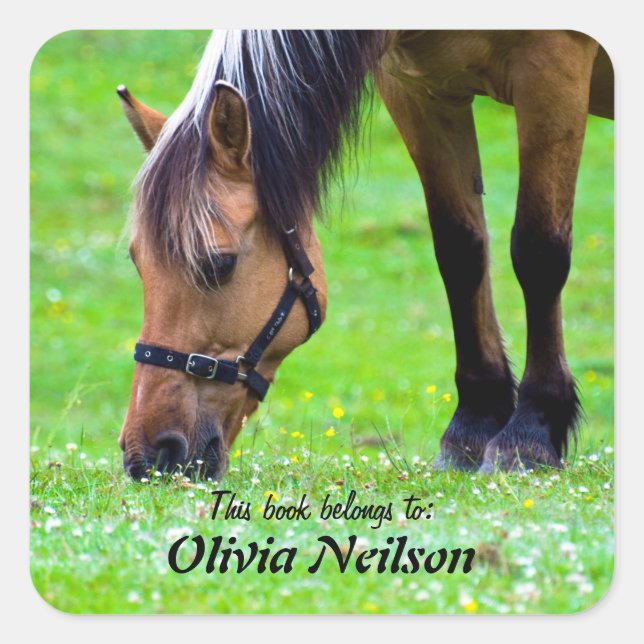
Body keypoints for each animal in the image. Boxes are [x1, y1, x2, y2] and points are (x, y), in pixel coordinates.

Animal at [117, 30, 613, 479]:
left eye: (219, 263)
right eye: (137, 263)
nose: (149, 455)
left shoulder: (553, 68)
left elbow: (539, 251)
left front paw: (530, 433)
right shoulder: (417, 88)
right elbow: (460, 252)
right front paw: (471, 427)